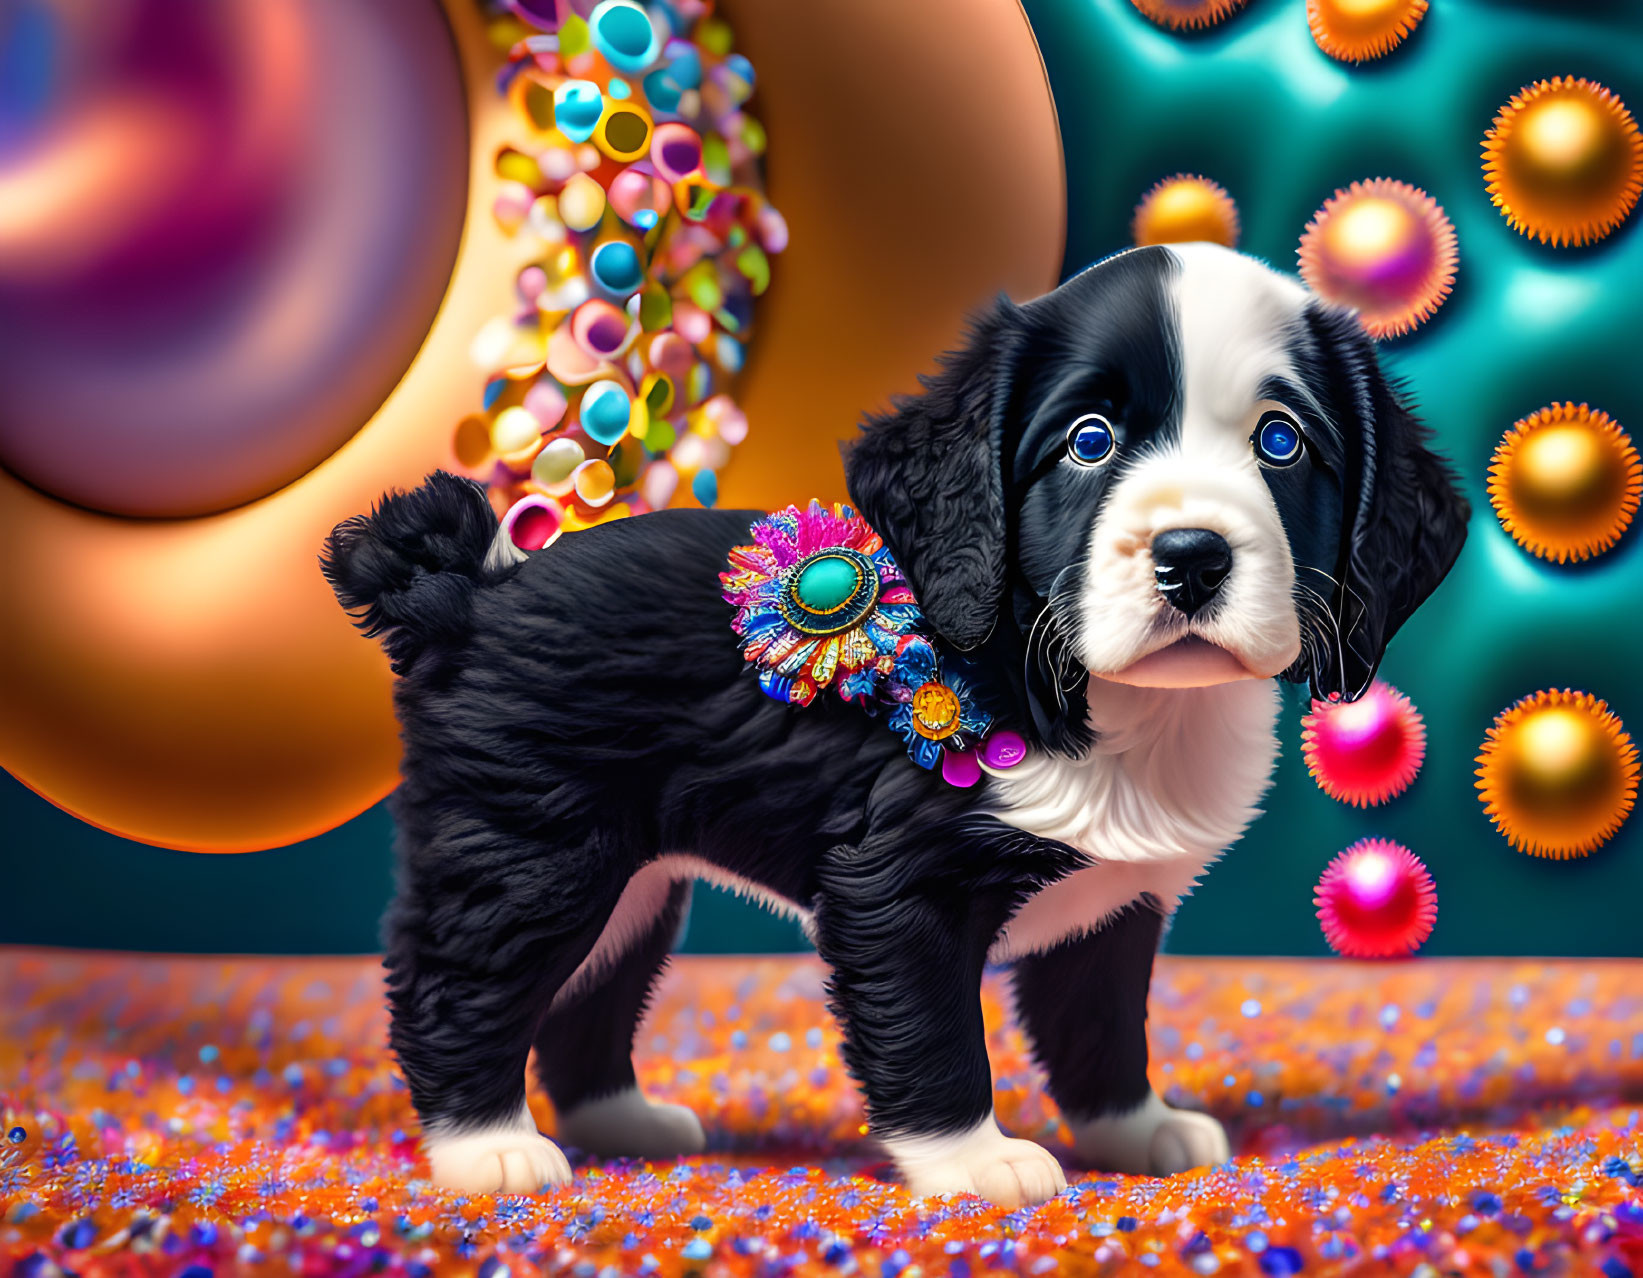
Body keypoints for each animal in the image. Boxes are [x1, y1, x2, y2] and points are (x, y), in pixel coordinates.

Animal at [320, 241, 1465, 1202]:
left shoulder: (1113, 902)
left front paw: (1135, 1130)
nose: (1191, 555)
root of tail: (474, 592)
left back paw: (620, 1122)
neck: (1095, 699)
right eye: (1087, 443)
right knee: (460, 980)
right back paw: (487, 1148)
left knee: (589, 992)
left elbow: (1096, 1020)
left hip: (630, 880)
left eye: (1281, 442)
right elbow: (929, 1030)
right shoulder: (894, 885)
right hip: (537, 850)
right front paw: (974, 1163)